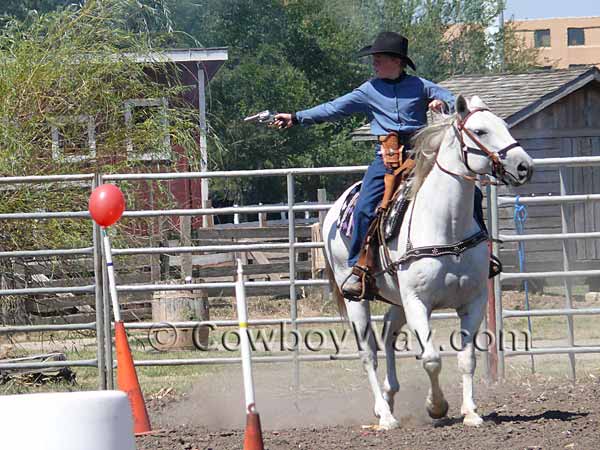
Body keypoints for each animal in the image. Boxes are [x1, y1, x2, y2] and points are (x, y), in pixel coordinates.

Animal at [324, 95, 536, 428]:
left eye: (504, 125)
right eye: (480, 130)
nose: (524, 166)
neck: (446, 225)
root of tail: (336, 208)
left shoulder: (473, 301)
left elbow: (466, 359)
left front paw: (471, 412)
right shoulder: (417, 302)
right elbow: (431, 359)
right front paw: (436, 407)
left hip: (396, 299)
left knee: (388, 332)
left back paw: (389, 395)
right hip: (357, 298)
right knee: (368, 352)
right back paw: (385, 415)